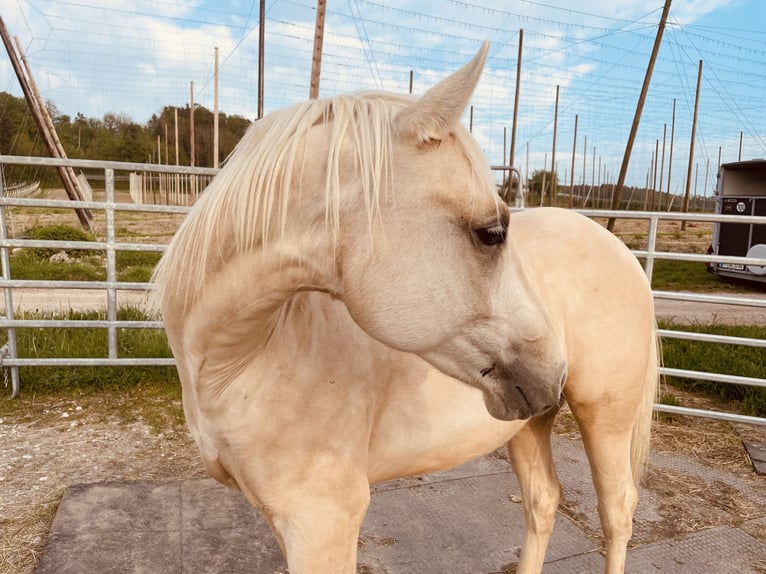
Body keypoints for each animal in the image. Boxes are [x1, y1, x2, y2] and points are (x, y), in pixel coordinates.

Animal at [153, 41, 664, 574]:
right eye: (491, 233)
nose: (553, 370)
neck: (237, 361)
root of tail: (621, 250)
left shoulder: (321, 521)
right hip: (528, 423)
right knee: (543, 502)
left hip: (605, 418)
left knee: (617, 511)